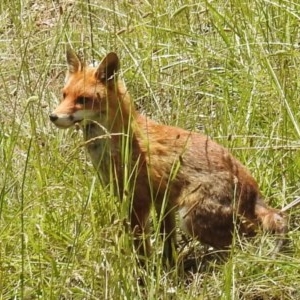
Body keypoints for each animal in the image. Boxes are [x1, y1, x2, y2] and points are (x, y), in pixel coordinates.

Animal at [50, 48, 288, 262]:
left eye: (83, 99)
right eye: (64, 95)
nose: (52, 116)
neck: (120, 143)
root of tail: (253, 194)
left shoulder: (140, 202)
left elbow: (141, 247)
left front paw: (144, 272)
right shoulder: (158, 202)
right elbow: (167, 241)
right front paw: (167, 264)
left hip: (191, 216)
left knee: (241, 245)